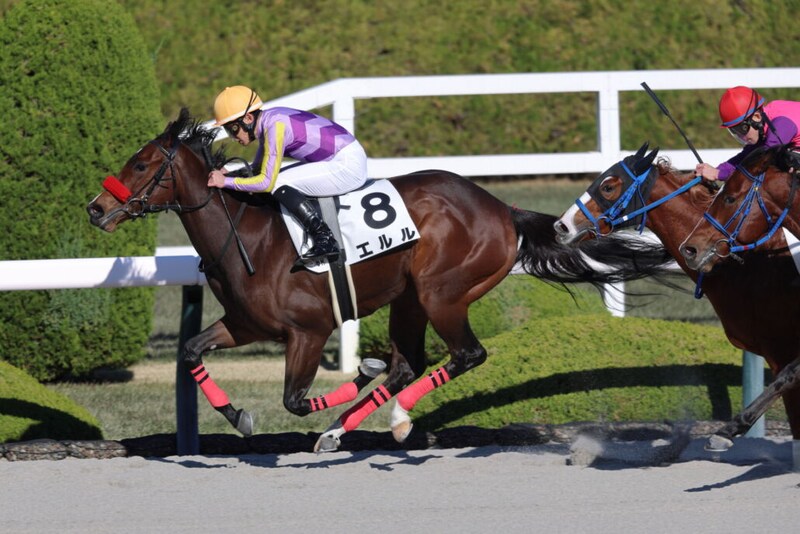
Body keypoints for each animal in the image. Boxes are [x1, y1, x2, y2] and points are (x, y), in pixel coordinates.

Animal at [87, 110, 671, 452]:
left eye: (142, 164)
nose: (95, 208)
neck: (249, 235)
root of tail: (501, 208)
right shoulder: (246, 324)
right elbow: (191, 351)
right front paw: (239, 416)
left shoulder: (309, 330)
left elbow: (294, 399)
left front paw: (356, 374)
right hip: (409, 298)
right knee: (409, 362)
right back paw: (340, 429)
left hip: (442, 292)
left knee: (464, 355)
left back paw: (395, 417)